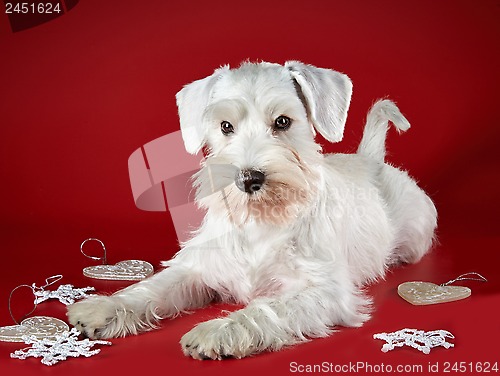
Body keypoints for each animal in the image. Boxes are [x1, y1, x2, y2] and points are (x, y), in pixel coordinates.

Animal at [67, 60, 438, 360]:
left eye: (283, 122)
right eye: (225, 126)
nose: (248, 178)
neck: (260, 220)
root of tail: (370, 160)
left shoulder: (324, 292)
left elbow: (266, 309)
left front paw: (217, 331)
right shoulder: (198, 269)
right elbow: (152, 288)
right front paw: (104, 306)